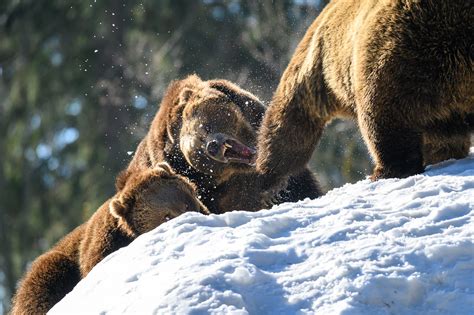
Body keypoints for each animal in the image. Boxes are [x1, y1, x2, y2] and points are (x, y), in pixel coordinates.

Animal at [250, 0, 472, 200]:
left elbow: (292, 117)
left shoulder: (317, 62)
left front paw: (268, 175)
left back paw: (386, 171)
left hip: (400, 54)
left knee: (384, 119)